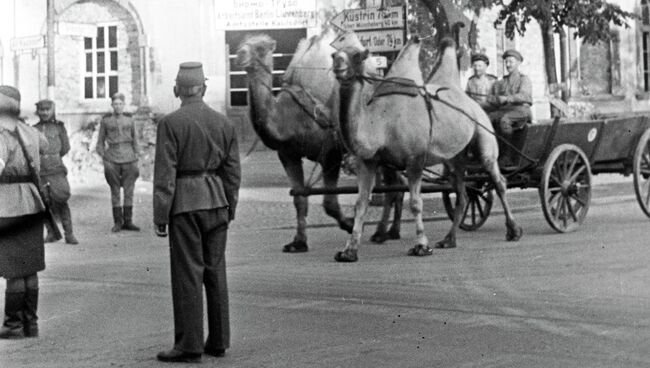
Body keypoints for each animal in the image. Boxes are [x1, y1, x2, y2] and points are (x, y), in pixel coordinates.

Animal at [235, 29, 402, 253]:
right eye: (240, 44)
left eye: (260, 48)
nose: (240, 55)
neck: (290, 118)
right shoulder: (288, 155)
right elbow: (299, 199)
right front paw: (298, 242)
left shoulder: (331, 153)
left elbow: (329, 202)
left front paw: (349, 224)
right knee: (396, 184)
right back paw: (391, 232)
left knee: (393, 186)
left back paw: (382, 232)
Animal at [330, 33, 520, 262]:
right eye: (334, 54)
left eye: (357, 56)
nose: (338, 64)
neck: (382, 121)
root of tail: (473, 102)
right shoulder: (369, 161)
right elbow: (361, 204)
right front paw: (348, 251)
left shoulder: (415, 159)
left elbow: (415, 203)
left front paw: (421, 246)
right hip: (455, 158)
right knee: (463, 194)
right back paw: (448, 240)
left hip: (484, 137)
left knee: (498, 181)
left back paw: (513, 231)